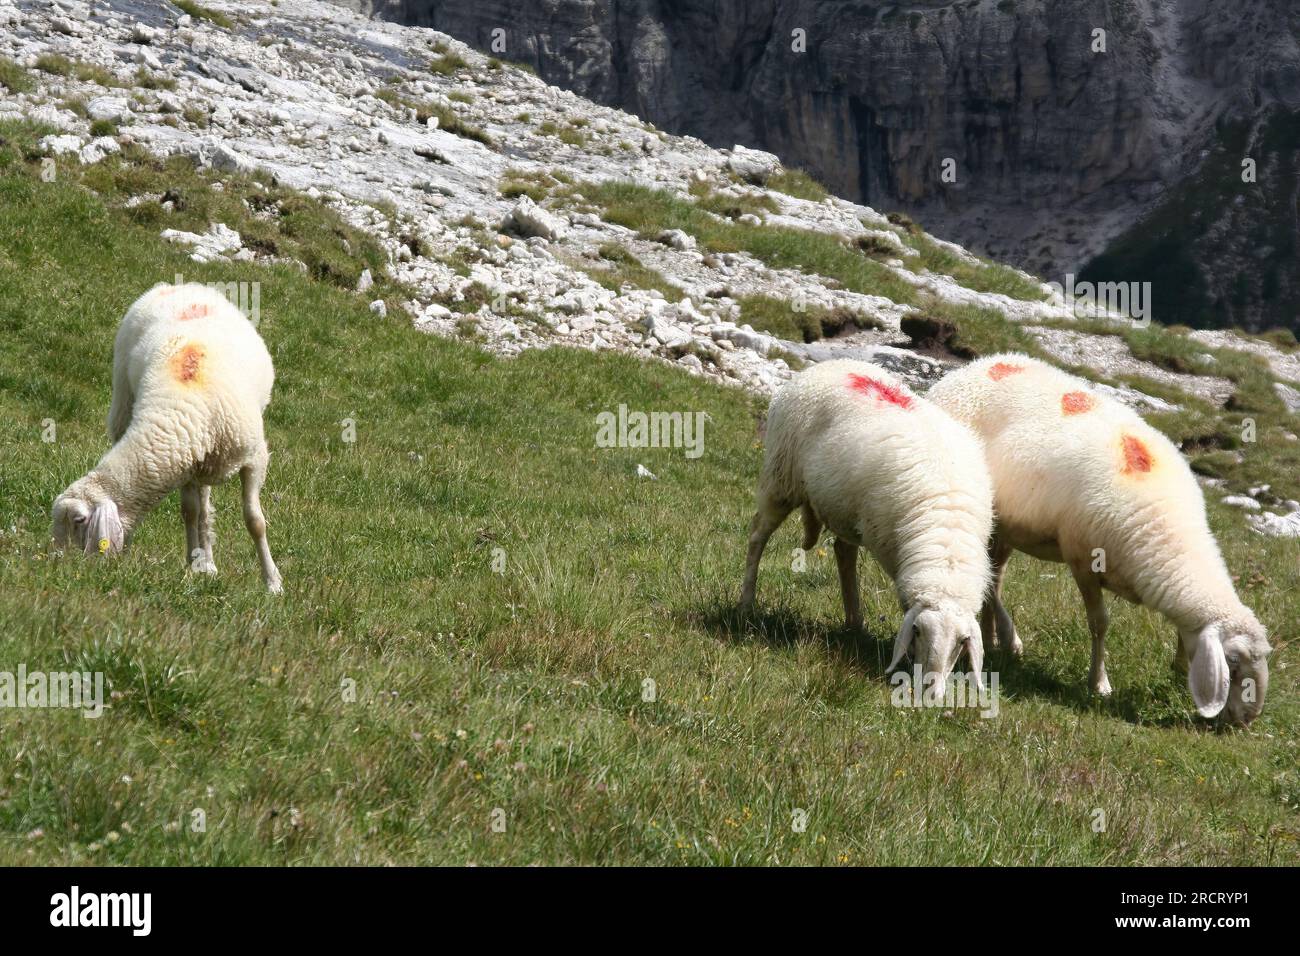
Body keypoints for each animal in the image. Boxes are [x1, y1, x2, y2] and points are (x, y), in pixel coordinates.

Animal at [53, 280, 284, 595]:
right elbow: (190, 512)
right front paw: (193, 565)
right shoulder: (184, 462)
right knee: (203, 509)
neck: (178, 404)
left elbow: (255, 521)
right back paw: (207, 563)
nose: (59, 566)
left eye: (79, 520)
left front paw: (273, 582)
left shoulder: (254, 458)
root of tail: (175, 286)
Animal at [743, 358, 993, 697]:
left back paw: (854, 622)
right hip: (781, 478)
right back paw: (746, 603)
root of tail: (829, 365)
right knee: (758, 534)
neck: (947, 537)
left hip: (843, 504)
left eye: (962, 642)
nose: (931, 692)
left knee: (842, 550)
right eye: (917, 631)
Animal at [930, 353, 1274, 723]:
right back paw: (1009, 639)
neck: (1166, 527)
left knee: (995, 577)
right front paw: (1099, 683)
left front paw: (1181, 670)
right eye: (1233, 663)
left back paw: (993, 639)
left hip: (1005, 526)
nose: (1247, 720)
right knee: (990, 581)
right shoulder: (1082, 560)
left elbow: (1182, 632)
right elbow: (1100, 624)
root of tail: (981, 364)